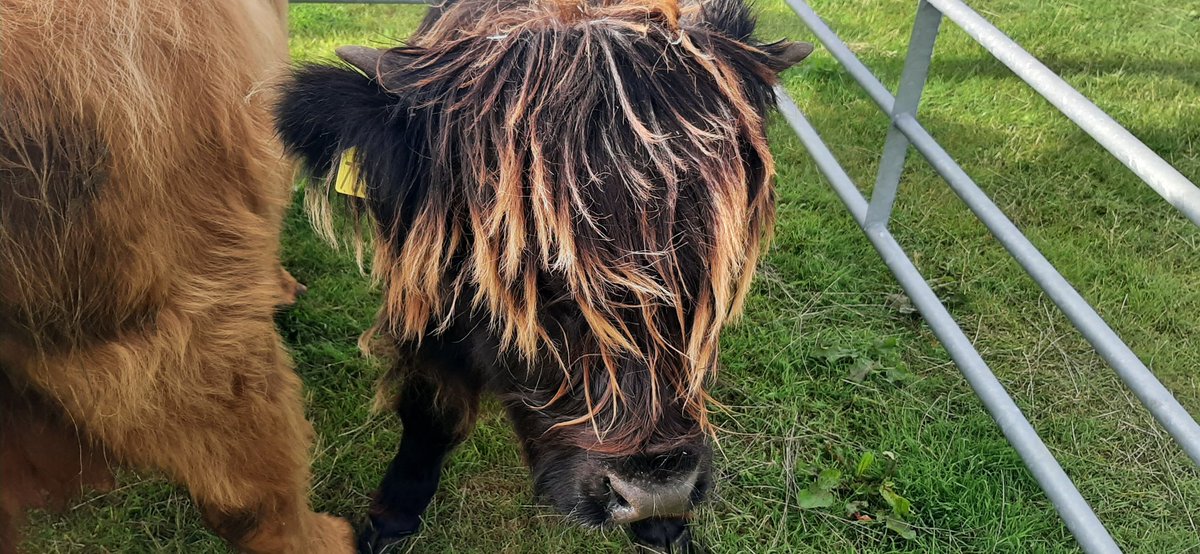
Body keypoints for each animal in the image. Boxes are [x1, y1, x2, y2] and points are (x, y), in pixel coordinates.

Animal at [276, 0, 811, 549]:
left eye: (712, 280)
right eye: (537, 281)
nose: (655, 494)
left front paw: (664, 528)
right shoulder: (427, 311)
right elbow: (430, 412)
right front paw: (390, 520)